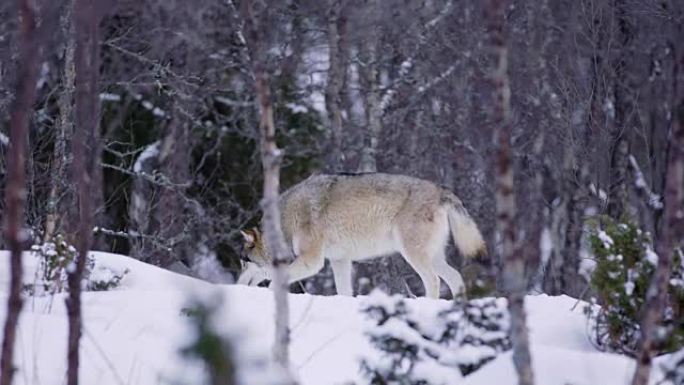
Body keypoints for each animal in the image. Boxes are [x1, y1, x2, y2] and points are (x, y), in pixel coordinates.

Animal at [240, 172, 486, 298]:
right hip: (433, 257)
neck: (284, 222)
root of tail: (440, 189)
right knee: (455, 278)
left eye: (243, 263)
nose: (238, 283)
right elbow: (343, 292)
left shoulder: (312, 262)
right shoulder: (339, 261)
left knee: (434, 281)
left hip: (412, 255)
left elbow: (274, 283)